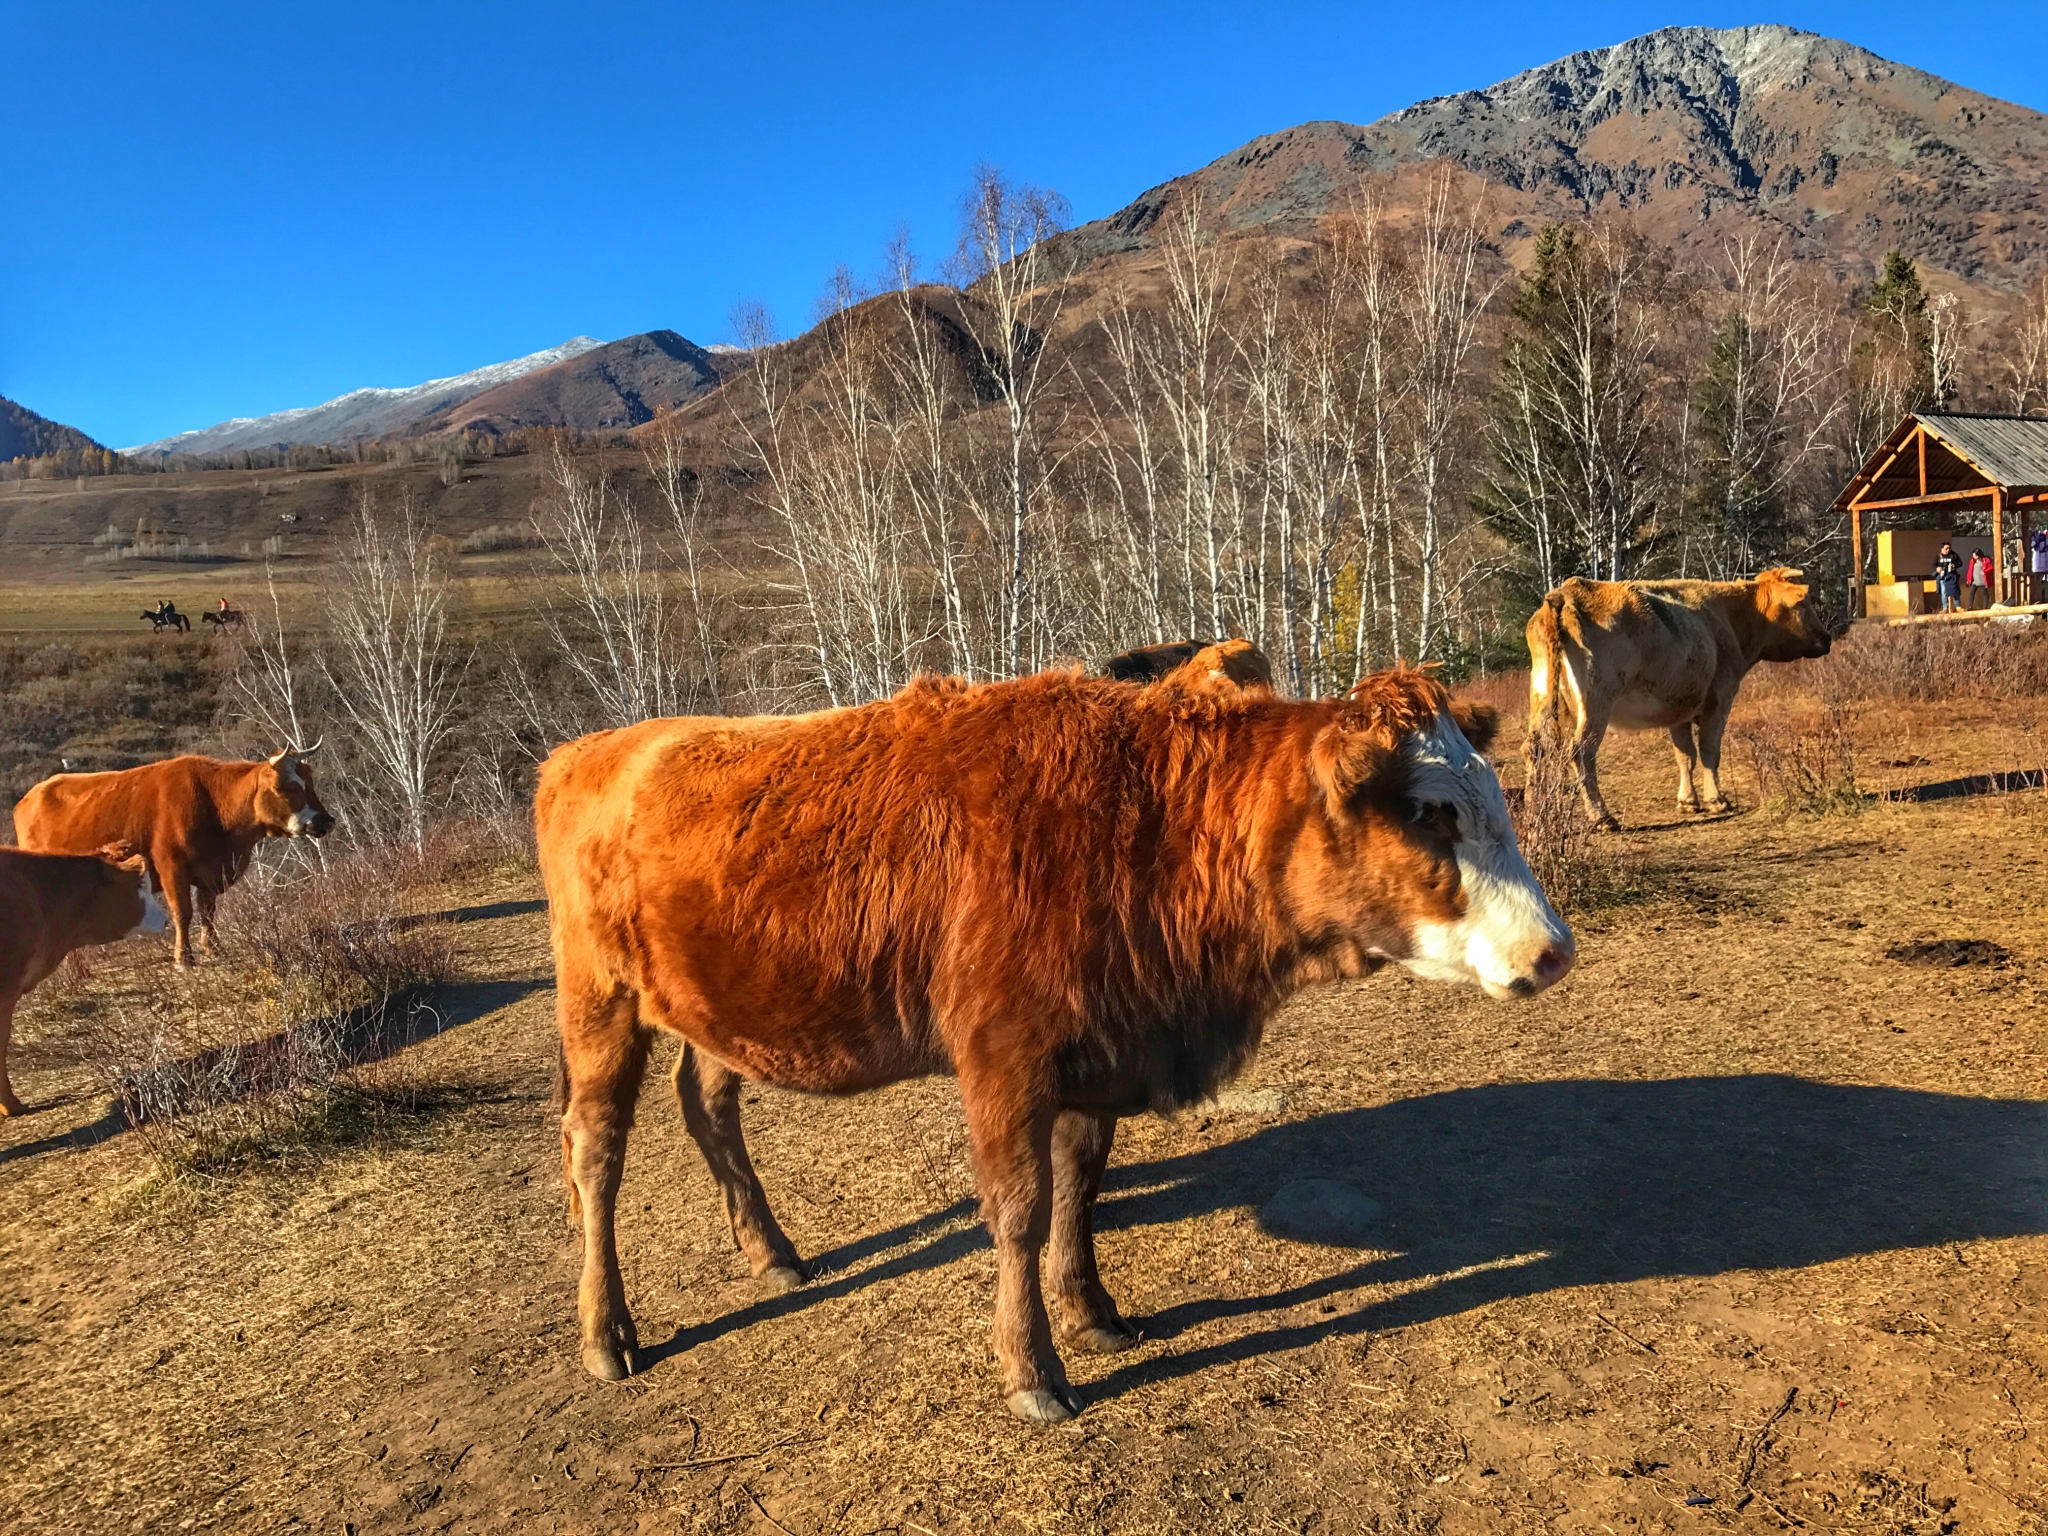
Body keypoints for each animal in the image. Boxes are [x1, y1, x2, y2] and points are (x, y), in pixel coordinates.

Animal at [14, 749, 333, 974]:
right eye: (288, 787)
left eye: (311, 783)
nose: (325, 821)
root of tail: (31, 796)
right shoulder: (171, 866)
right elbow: (183, 912)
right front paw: (184, 958)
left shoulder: (210, 873)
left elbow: (207, 912)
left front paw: (213, 948)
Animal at [536, 667, 1572, 1425]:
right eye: (1430, 813)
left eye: (1494, 796)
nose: (1553, 949)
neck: (1142, 824)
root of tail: (591, 748)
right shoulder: (1004, 1059)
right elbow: (1020, 1211)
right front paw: (1033, 1368)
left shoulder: (1094, 1056)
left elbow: (1081, 1189)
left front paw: (1092, 1312)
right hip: (598, 1001)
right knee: (596, 1151)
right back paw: (607, 1332)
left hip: (716, 1010)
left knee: (709, 1103)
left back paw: (772, 1251)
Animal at [1523, 565, 1843, 831]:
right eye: (1803, 601)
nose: (1827, 638)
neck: (1726, 617)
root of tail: (1563, 595)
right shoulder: (1719, 699)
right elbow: (1709, 751)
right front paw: (1716, 800)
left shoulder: (1679, 708)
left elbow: (1684, 755)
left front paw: (1688, 801)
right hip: (1596, 700)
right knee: (1581, 752)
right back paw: (1602, 817)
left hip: (1541, 695)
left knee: (1533, 748)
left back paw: (1533, 812)